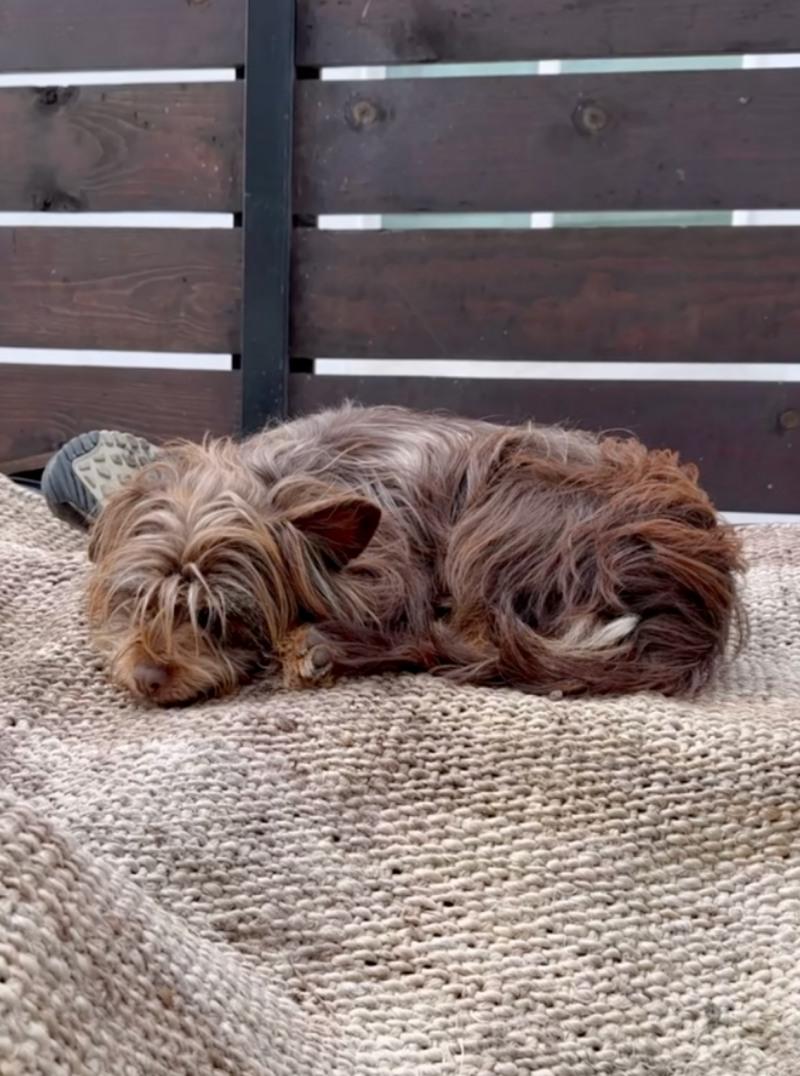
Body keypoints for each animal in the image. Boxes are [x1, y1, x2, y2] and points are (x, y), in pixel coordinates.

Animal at [87, 404, 745, 705]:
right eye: (137, 600)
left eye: (217, 617)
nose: (146, 678)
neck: (283, 478)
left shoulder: (401, 575)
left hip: (500, 510)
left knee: (453, 641)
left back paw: (318, 649)